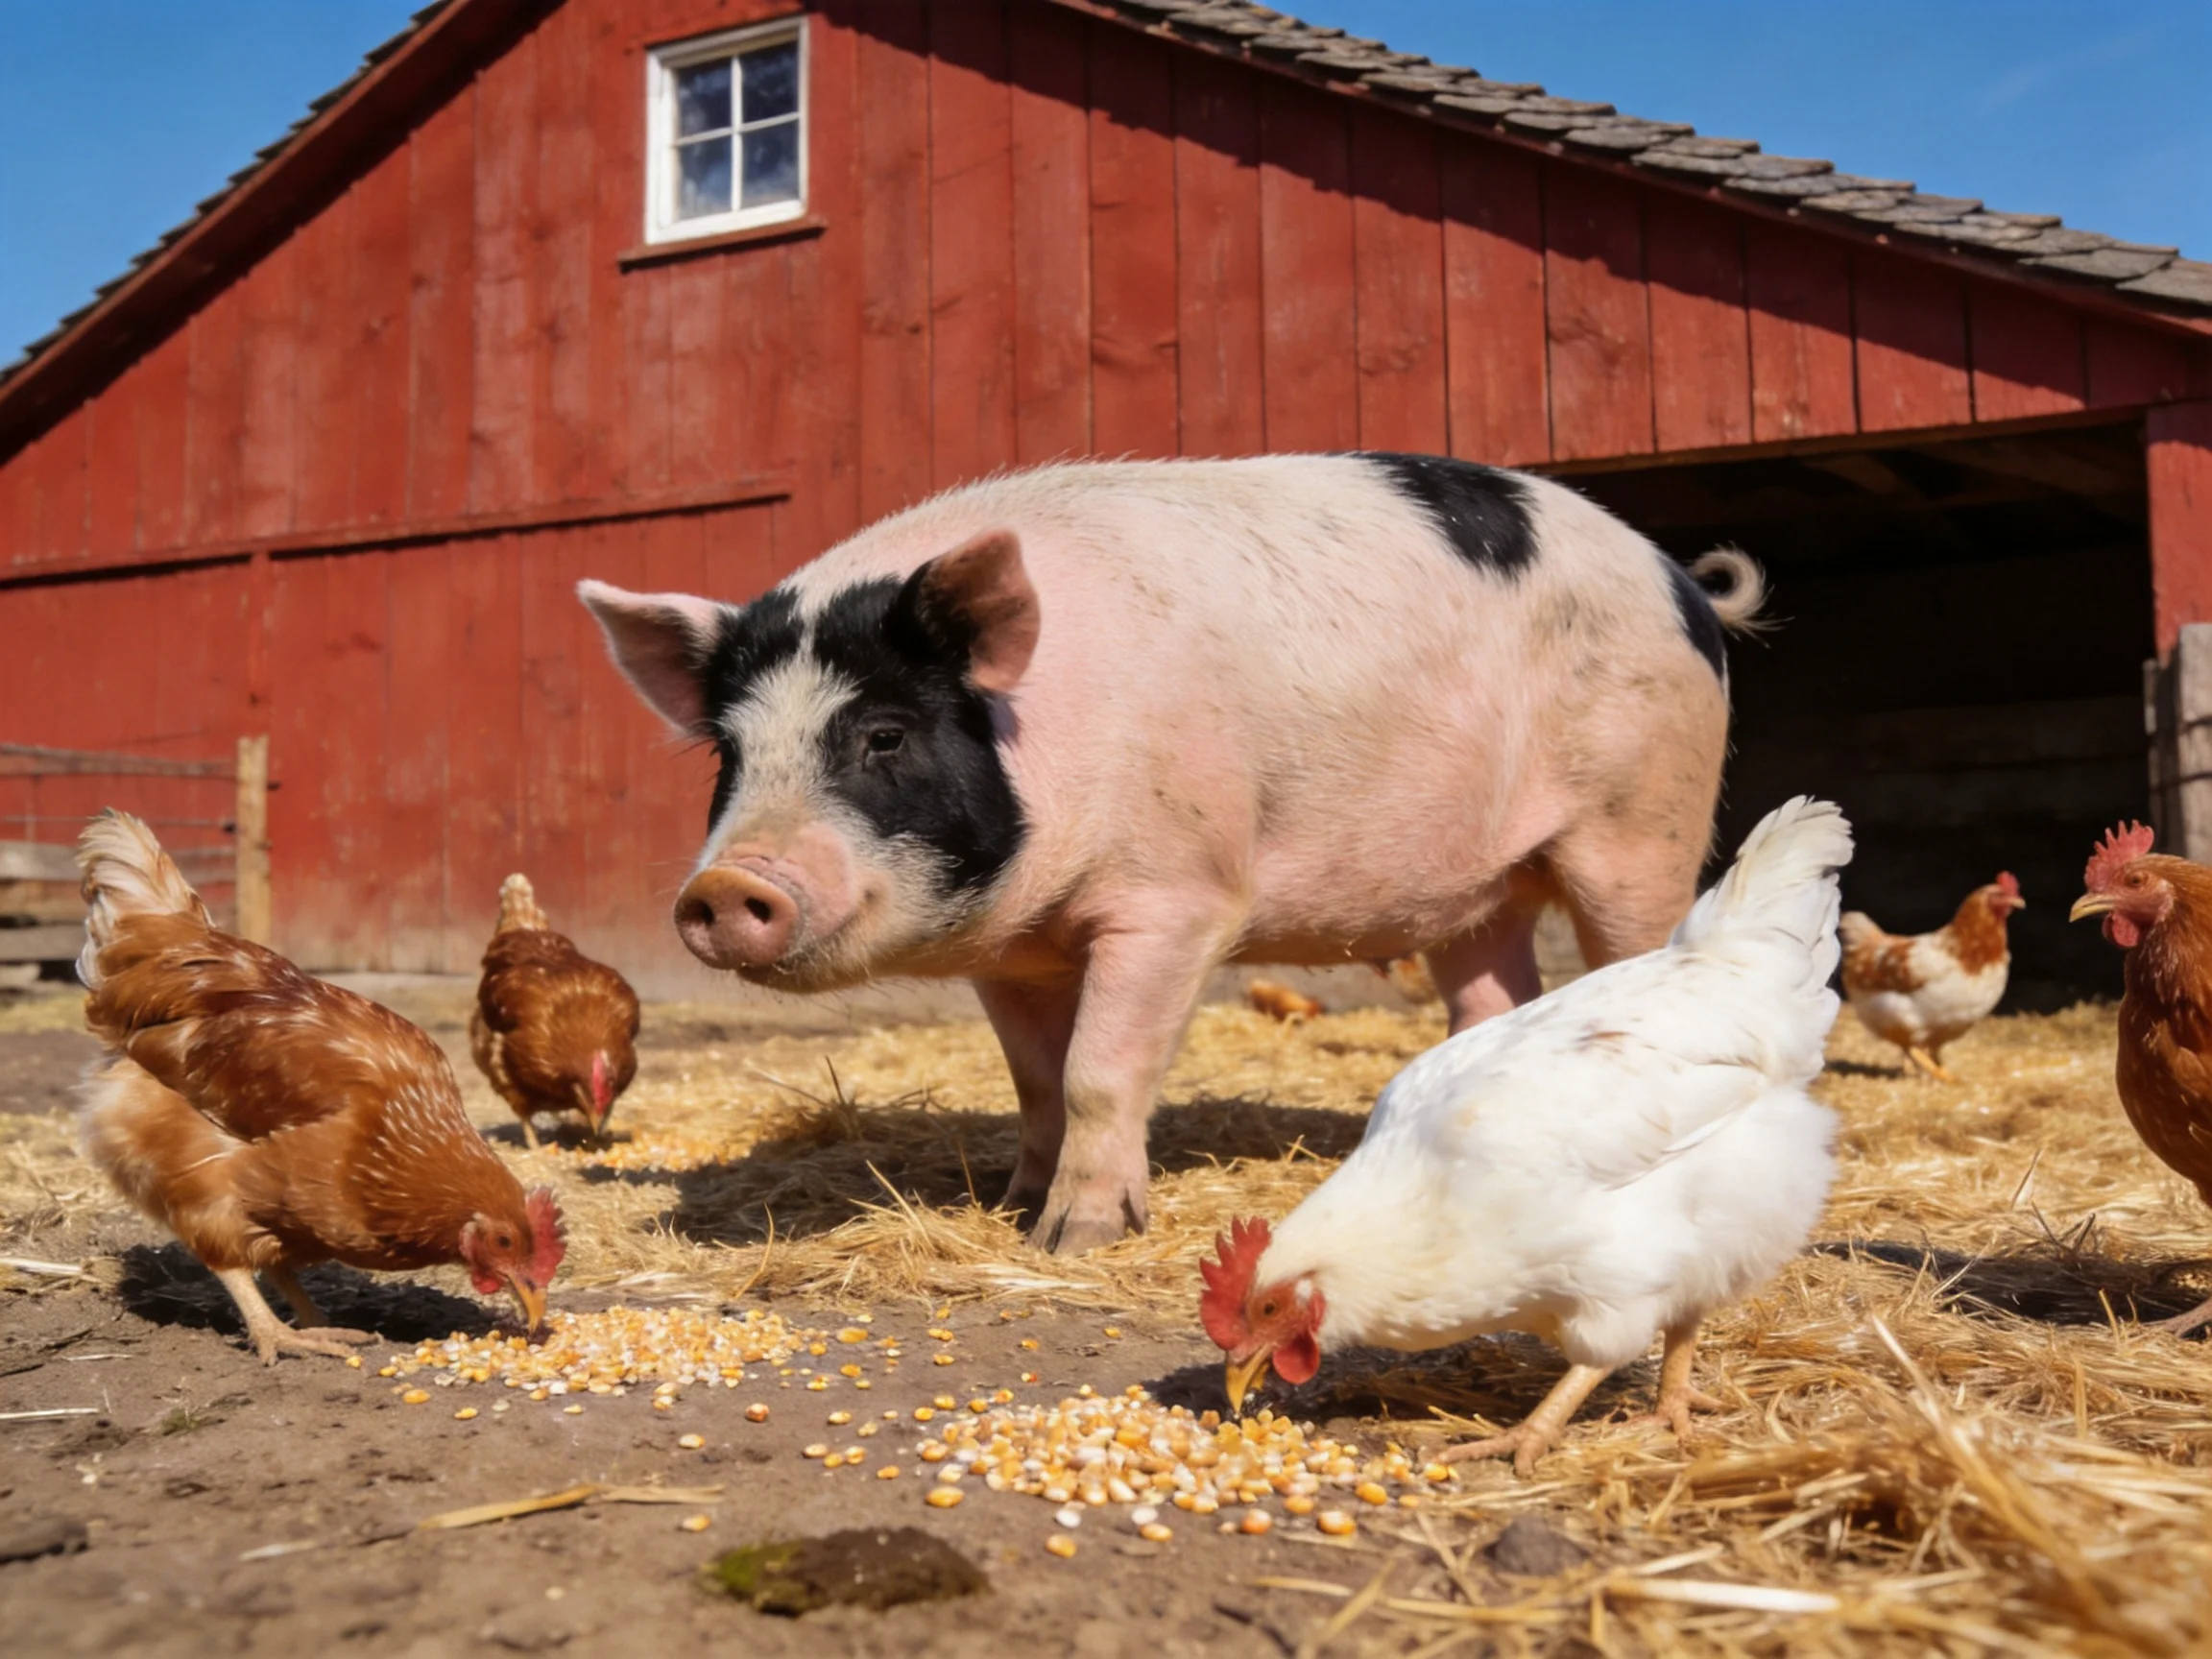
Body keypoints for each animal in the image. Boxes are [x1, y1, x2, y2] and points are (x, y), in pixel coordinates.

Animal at [579, 454, 1760, 1253]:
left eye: (884, 735)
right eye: (731, 753)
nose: (725, 888)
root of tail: (1681, 582)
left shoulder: (1178, 896)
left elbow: (1100, 1071)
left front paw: (1077, 1238)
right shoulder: (1009, 953)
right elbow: (1036, 1079)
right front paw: (1012, 1204)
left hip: (1642, 818)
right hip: (1479, 891)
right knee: (1488, 997)